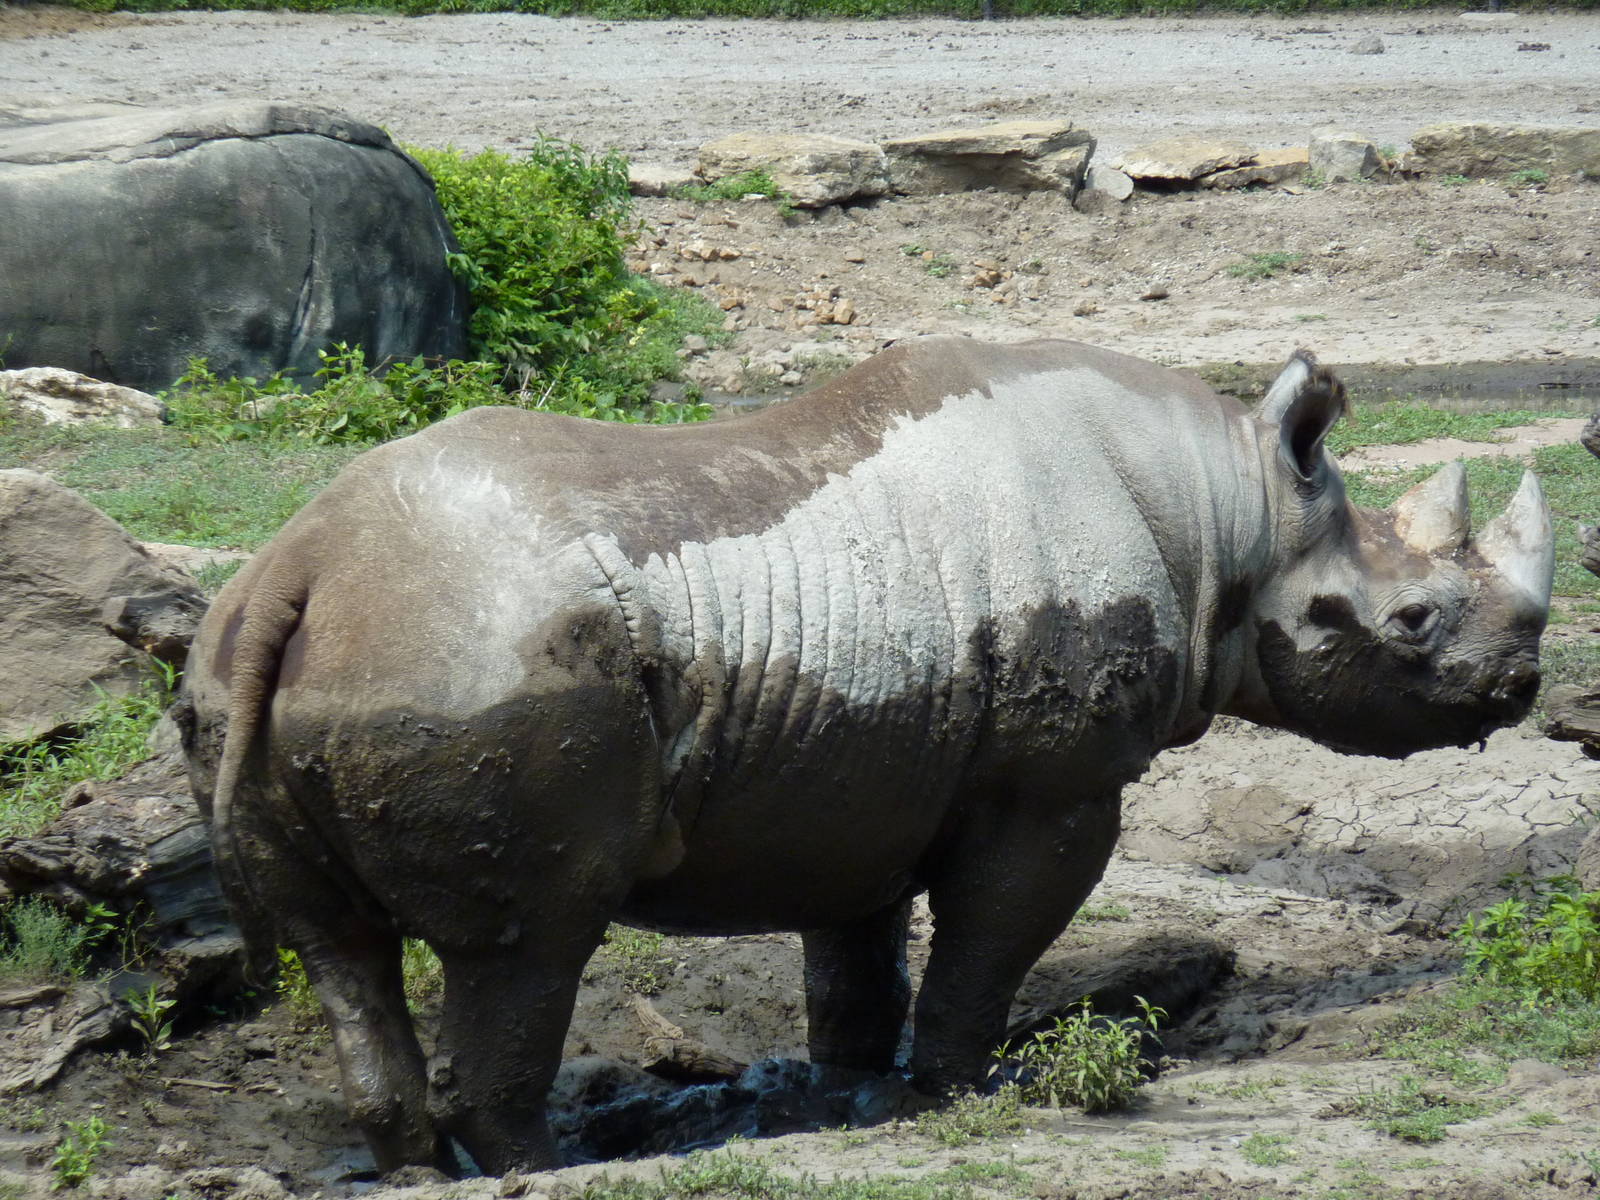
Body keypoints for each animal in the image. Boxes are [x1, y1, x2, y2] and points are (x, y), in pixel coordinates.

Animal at [178, 337, 1553, 1175]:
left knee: (337, 949)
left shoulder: (867, 763)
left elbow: (856, 957)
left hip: (250, 659)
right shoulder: (1051, 786)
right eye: (1412, 623)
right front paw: (958, 1094)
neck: (1232, 511)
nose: (1521, 684)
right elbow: (994, 939)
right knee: (528, 942)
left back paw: (414, 1160)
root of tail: (302, 568)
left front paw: (841, 1100)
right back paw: (538, 1163)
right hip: (482, 656)